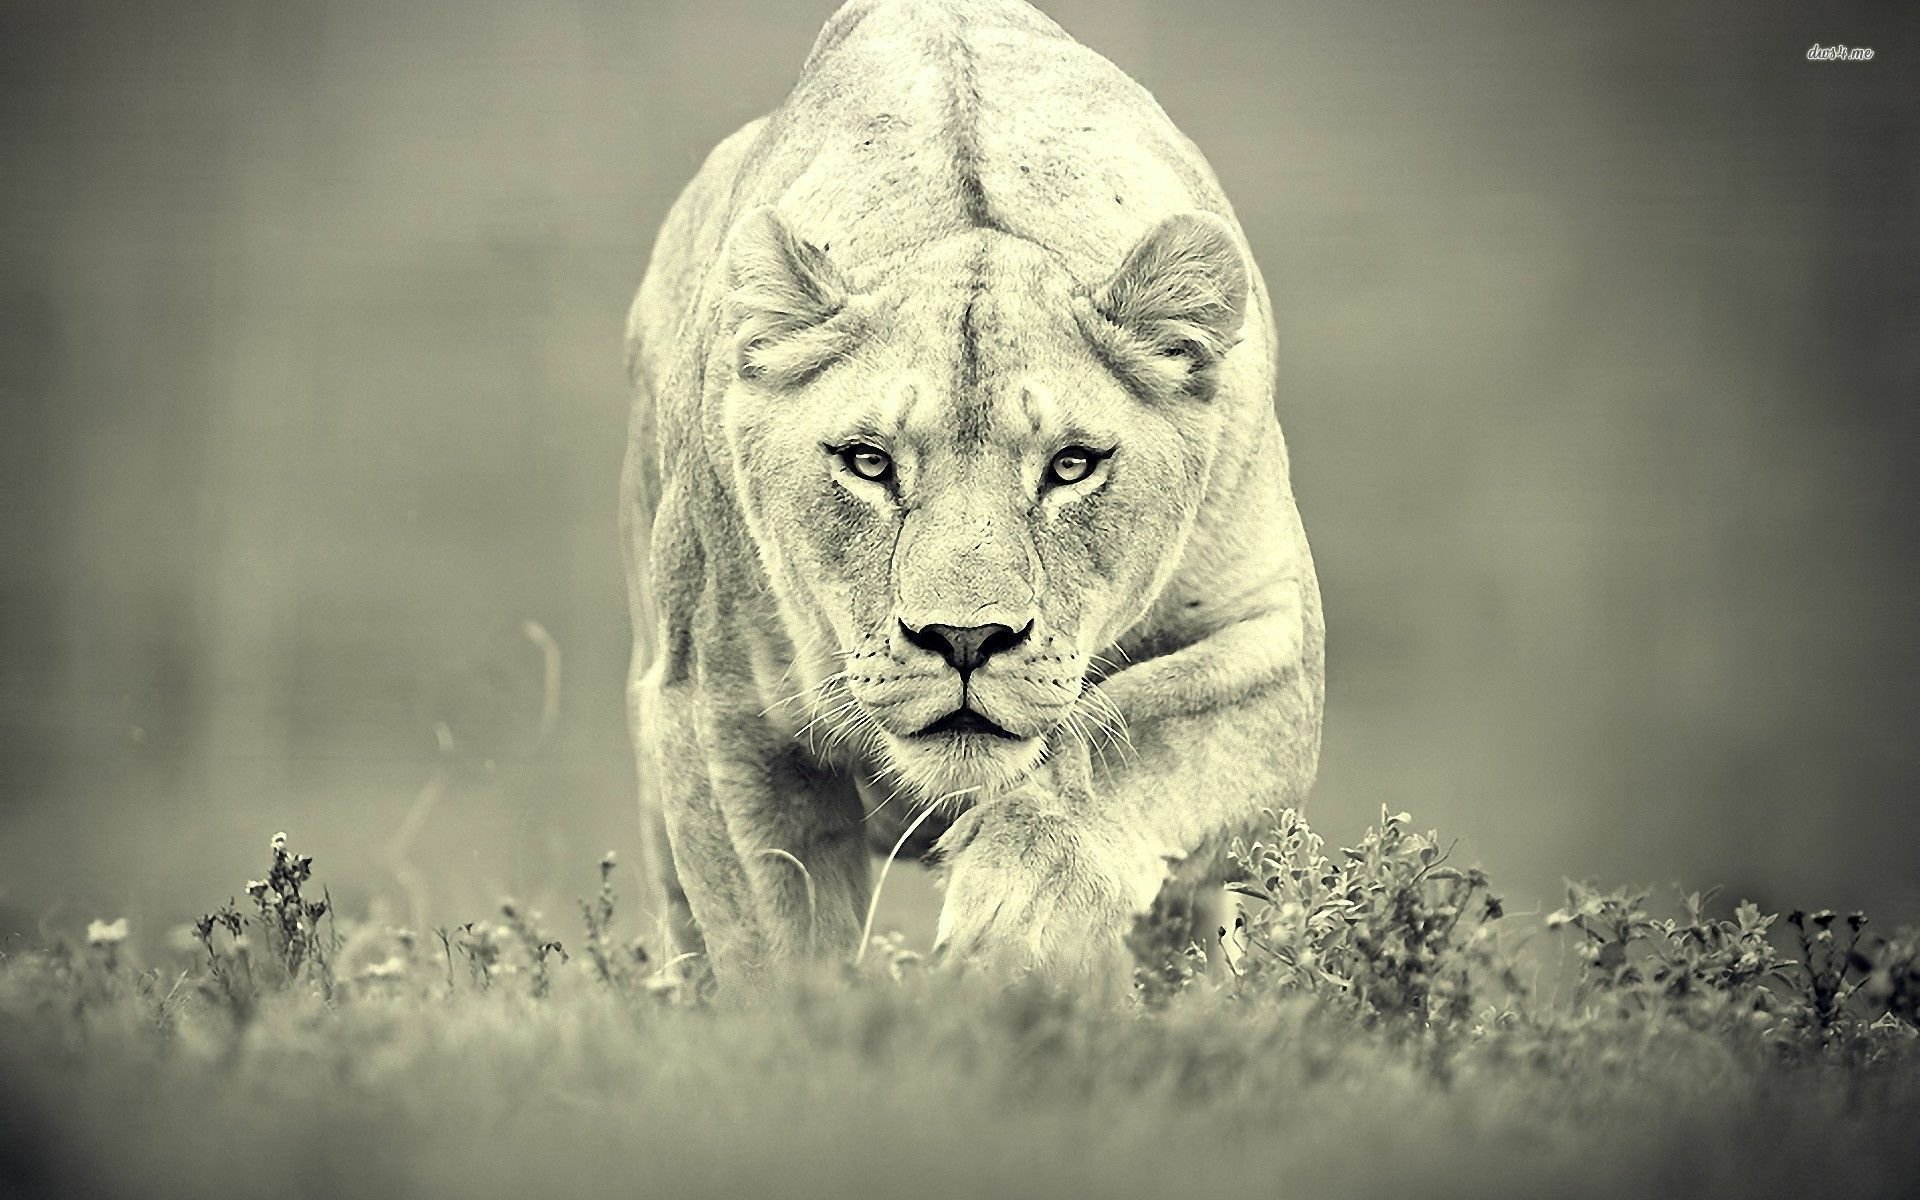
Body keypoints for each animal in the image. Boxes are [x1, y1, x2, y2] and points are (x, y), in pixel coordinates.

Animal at [621, 0, 1323, 995]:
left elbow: (1118, 741)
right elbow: (775, 950)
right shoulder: (716, 712)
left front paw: (1012, 928)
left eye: (1071, 466)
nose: (964, 640)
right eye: (869, 463)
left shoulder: (1275, 646)